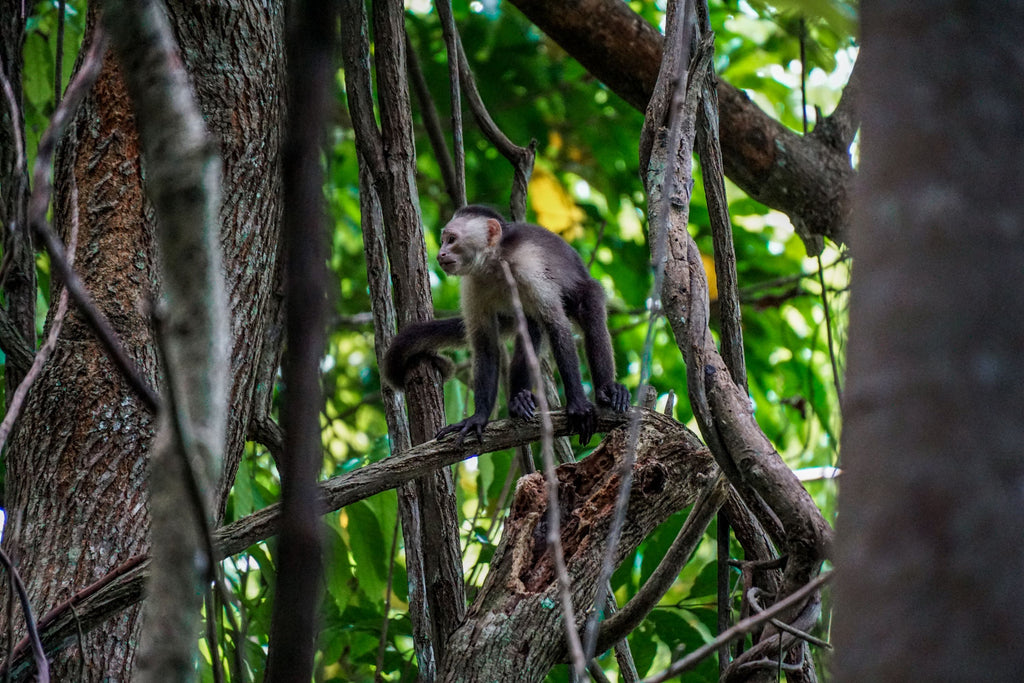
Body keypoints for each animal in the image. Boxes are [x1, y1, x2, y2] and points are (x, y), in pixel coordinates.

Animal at [380, 202, 626, 448]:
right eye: (442, 241)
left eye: (451, 239)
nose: (441, 254)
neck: (495, 263)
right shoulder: (473, 284)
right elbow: (486, 346)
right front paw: (478, 417)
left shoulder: (528, 265)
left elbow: (558, 327)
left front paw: (578, 404)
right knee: (530, 331)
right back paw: (519, 401)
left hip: (585, 289)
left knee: (588, 310)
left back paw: (607, 390)